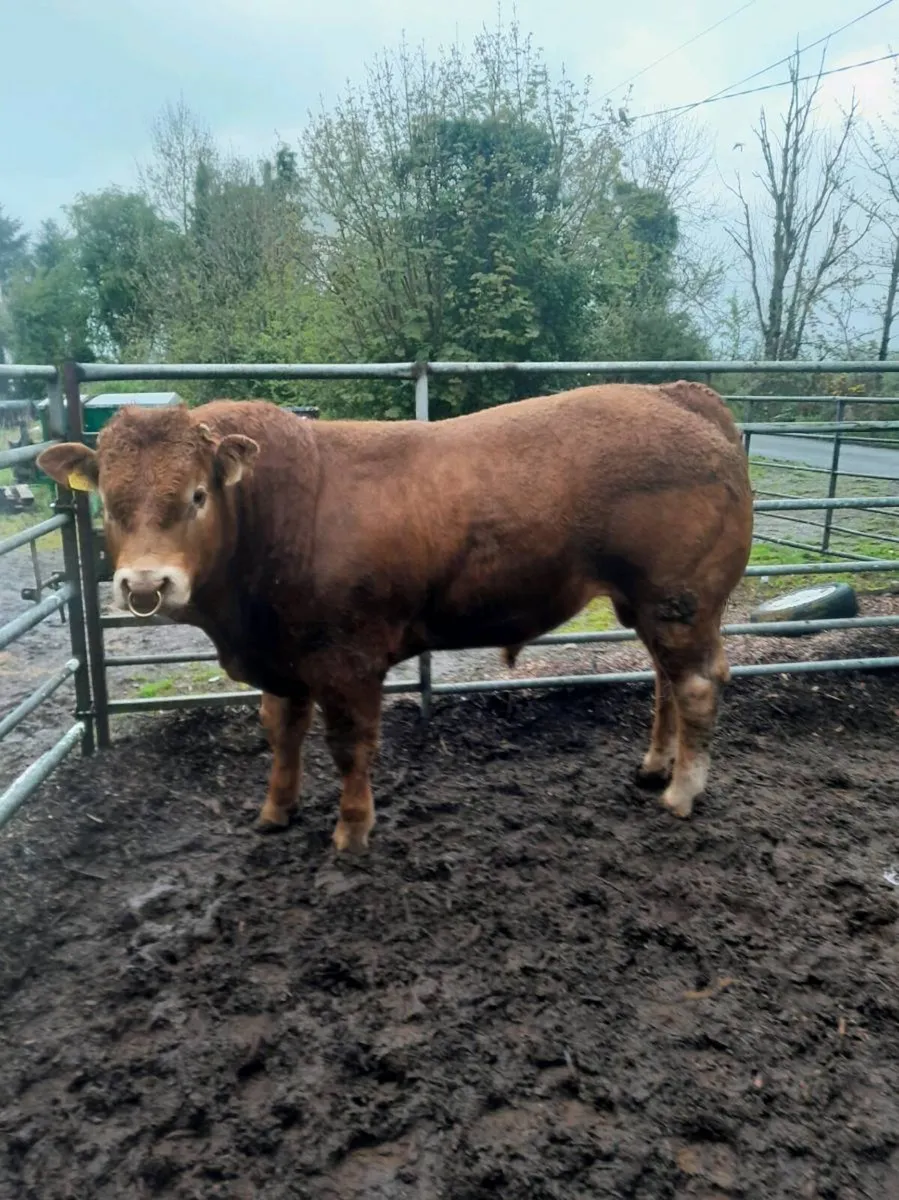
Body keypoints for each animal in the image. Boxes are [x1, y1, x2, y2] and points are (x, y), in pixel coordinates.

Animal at [38, 382, 753, 854]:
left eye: (196, 495)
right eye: (108, 501)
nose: (145, 583)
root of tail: (677, 394)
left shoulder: (347, 659)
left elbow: (349, 745)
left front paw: (352, 829)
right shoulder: (283, 656)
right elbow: (282, 731)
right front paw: (276, 809)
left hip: (680, 598)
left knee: (694, 684)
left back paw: (682, 792)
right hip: (652, 604)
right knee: (664, 680)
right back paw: (655, 766)